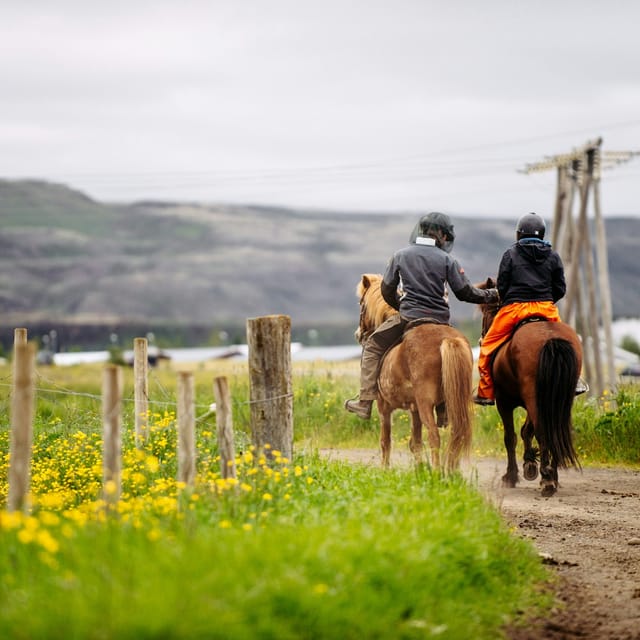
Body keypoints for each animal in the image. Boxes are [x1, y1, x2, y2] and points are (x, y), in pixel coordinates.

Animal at [356, 272, 476, 472]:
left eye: (362, 305)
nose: (358, 334)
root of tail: (448, 340)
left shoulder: (384, 407)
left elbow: (386, 441)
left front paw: (385, 470)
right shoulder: (415, 410)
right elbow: (415, 443)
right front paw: (419, 471)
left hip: (425, 403)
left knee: (434, 436)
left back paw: (437, 472)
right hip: (454, 401)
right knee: (457, 434)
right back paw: (452, 472)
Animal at [478, 276, 584, 496]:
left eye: (487, 310)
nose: (483, 336)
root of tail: (551, 339)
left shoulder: (505, 402)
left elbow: (510, 437)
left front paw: (511, 476)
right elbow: (527, 430)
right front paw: (530, 464)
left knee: (545, 431)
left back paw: (548, 481)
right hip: (556, 398)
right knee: (554, 429)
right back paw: (552, 475)